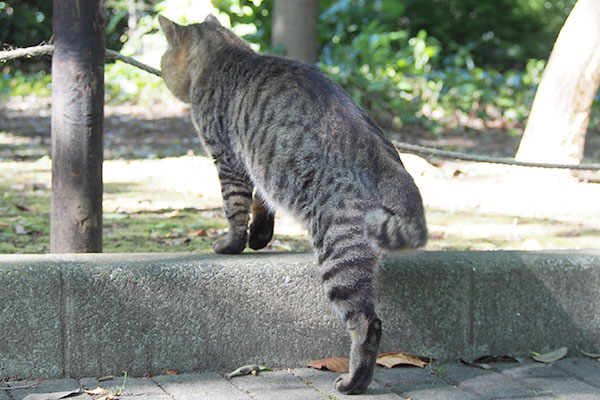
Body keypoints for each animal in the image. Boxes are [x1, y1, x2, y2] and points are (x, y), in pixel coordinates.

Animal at [157, 14, 424, 394]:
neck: (228, 55)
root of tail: (388, 165)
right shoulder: (256, 164)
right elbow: (260, 204)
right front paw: (259, 237)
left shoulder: (228, 160)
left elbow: (235, 210)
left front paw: (232, 244)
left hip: (338, 256)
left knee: (367, 323)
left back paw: (353, 382)